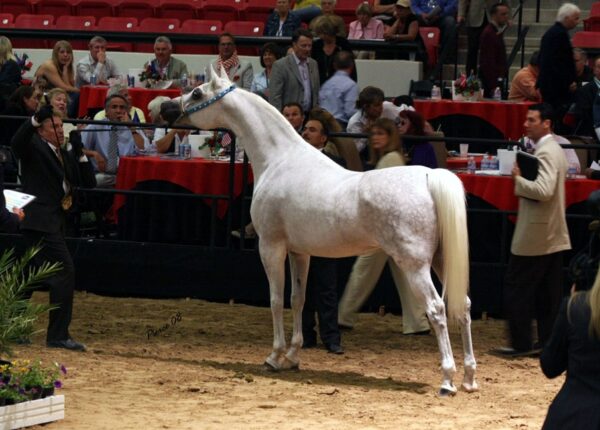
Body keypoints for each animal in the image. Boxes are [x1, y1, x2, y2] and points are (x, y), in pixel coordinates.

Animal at [161, 69, 478, 394]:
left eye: (197, 93)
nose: (165, 108)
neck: (280, 160)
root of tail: (429, 177)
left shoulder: (271, 247)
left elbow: (276, 299)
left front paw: (274, 356)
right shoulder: (300, 253)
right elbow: (297, 300)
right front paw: (292, 356)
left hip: (414, 266)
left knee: (437, 309)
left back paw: (448, 380)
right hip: (440, 260)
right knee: (464, 306)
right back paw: (469, 378)